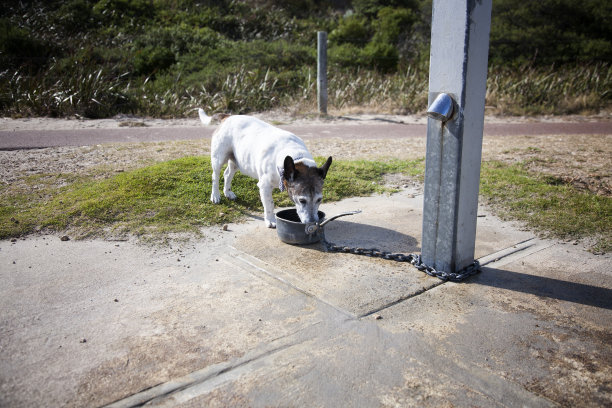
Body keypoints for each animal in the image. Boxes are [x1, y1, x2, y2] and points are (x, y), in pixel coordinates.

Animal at [200, 108, 332, 228]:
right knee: (215, 176)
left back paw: (228, 192)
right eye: (302, 201)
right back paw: (215, 195)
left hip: (237, 160)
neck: (295, 158)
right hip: (219, 158)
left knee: (227, 174)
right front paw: (270, 219)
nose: (312, 222)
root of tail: (227, 117)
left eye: (319, 200)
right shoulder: (264, 186)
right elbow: (269, 204)